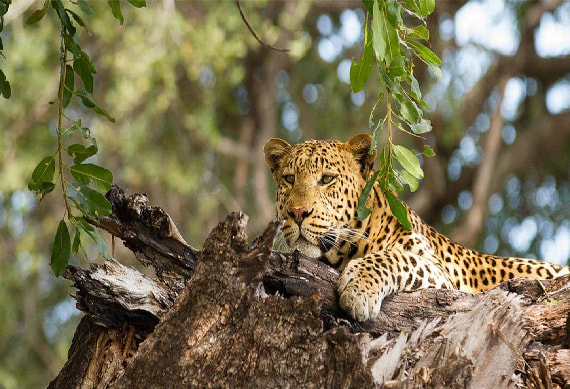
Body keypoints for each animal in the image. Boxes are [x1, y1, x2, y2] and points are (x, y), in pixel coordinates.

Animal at [262, 133, 568, 322]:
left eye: (326, 179)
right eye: (289, 179)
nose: (297, 213)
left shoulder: (441, 275)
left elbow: (394, 258)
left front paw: (358, 289)